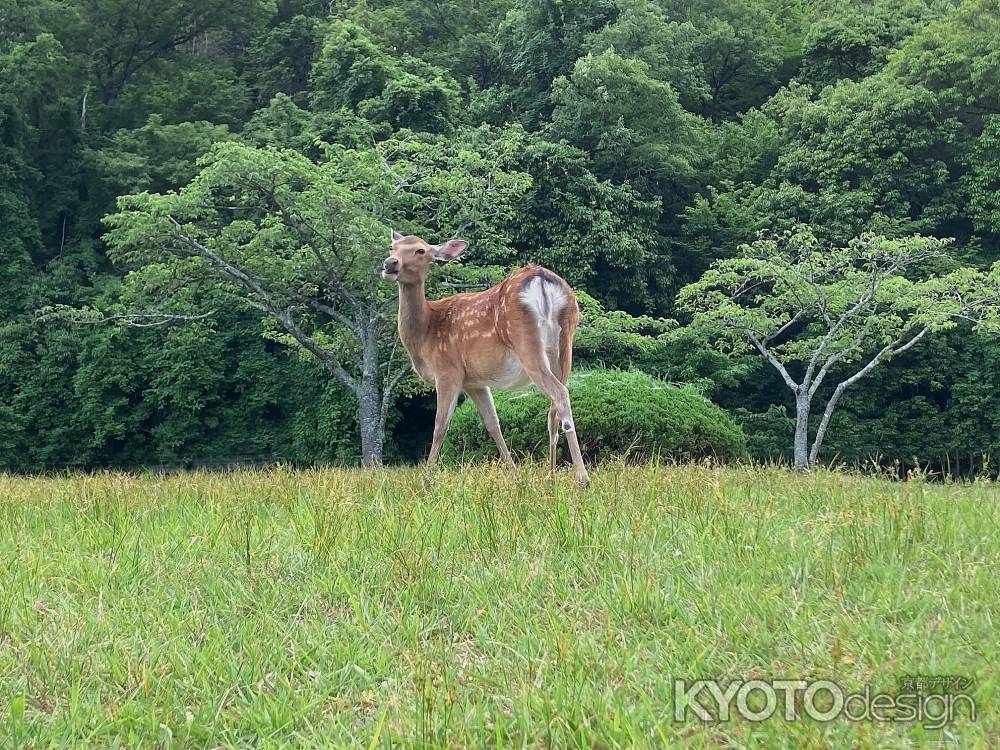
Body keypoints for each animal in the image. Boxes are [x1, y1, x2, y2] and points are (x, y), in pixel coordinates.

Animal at [383, 230, 590, 486]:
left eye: (420, 250)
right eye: (392, 247)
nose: (389, 263)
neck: (425, 334)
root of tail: (541, 279)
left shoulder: (448, 370)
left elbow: (440, 426)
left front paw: (425, 481)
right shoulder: (474, 382)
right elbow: (493, 423)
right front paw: (514, 475)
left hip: (525, 341)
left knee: (559, 394)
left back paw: (582, 478)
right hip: (565, 343)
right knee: (554, 405)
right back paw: (551, 475)